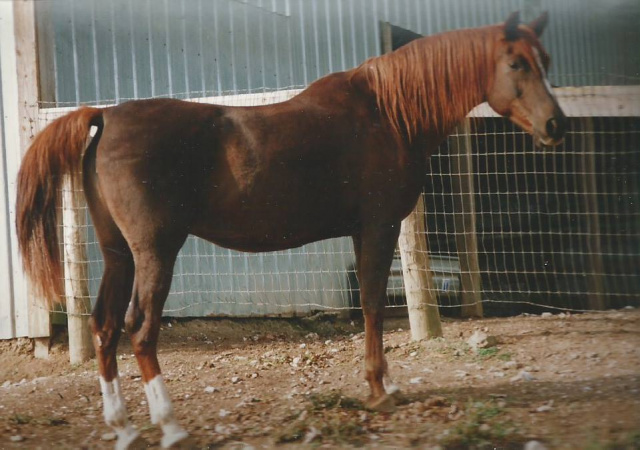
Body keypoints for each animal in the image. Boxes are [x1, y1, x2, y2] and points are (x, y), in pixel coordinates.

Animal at [16, 12, 564, 448]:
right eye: (516, 64)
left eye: (545, 61)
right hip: (155, 252)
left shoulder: (364, 230)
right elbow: (373, 303)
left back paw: (125, 428)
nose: (555, 125)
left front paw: (382, 385)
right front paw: (379, 390)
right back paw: (170, 426)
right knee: (140, 329)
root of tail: (106, 117)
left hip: (118, 253)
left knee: (105, 327)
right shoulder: (380, 225)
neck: (388, 114)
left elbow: (369, 304)